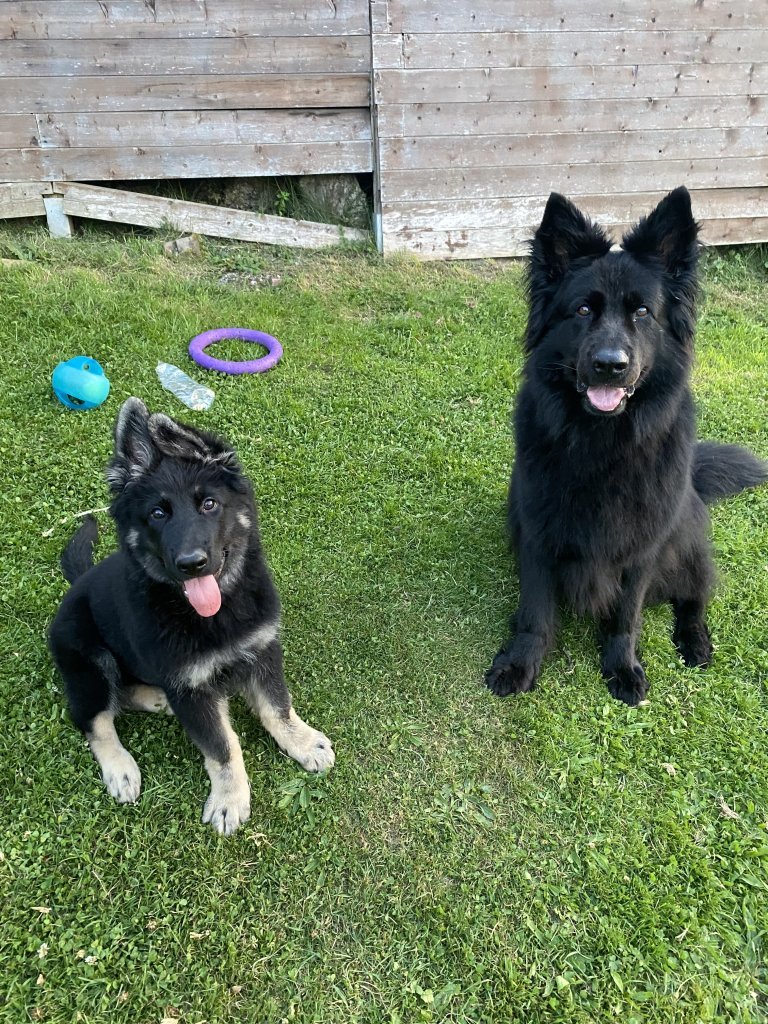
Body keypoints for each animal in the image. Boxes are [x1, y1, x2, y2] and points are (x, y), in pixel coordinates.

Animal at [49, 398, 335, 834]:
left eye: (209, 504)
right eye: (157, 513)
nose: (191, 563)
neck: (213, 615)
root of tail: (77, 582)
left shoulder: (262, 651)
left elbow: (277, 706)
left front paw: (301, 742)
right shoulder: (188, 685)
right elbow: (221, 746)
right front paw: (229, 799)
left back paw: (156, 700)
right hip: (90, 662)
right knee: (92, 718)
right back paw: (120, 767)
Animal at [485, 186, 768, 706]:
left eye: (642, 312)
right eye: (582, 310)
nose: (610, 365)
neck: (602, 443)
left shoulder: (643, 547)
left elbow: (626, 614)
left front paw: (622, 667)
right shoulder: (537, 534)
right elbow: (534, 612)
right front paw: (520, 663)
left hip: (686, 543)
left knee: (694, 597)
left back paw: (696, 641)